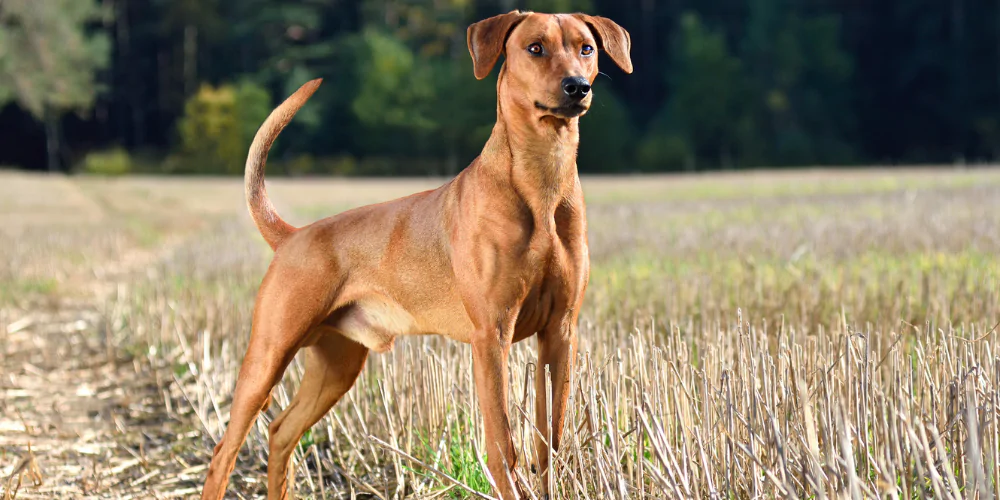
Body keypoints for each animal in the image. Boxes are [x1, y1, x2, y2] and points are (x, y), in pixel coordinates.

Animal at [199, 9, 628, 498]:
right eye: (535, 48)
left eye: (586, 48)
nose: (577, 86)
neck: (541, 178)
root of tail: (293, 236)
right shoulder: (491, 334)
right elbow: (502, 446)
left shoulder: (560, 331)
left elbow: (549, 439)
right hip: (269, 352)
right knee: (224, 451)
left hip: (336, 365)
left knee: (280, 432)